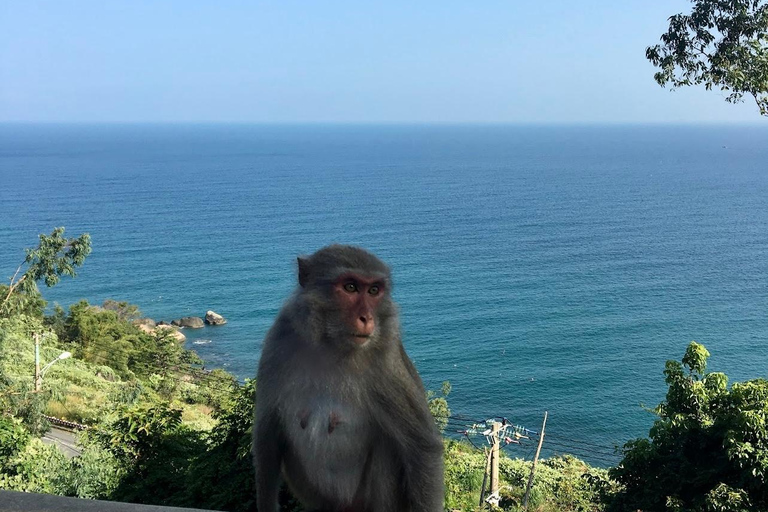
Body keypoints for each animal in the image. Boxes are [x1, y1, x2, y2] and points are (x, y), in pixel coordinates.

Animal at [254, 244, 444, 512]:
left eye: (374, 290)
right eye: (350, 287)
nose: (367, 318)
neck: (330, 345)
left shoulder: (385, 364)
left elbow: (422, 448)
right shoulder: (279, 341)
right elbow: (268, 432)